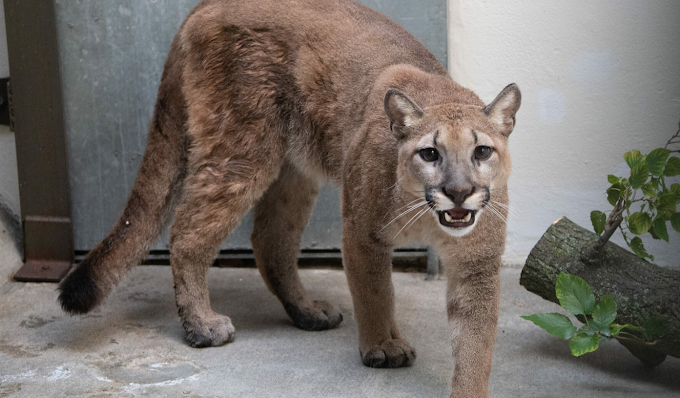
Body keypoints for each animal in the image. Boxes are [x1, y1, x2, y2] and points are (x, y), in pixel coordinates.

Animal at [58, 0, 520, 394]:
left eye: (482, 151)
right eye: (429, 153)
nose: (458, 192)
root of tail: (208, 4)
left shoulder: (477, 263)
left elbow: (476, 343)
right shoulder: (362, 232)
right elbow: (376, 293)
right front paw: (383, 346)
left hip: (295, 169)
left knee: (270, 240)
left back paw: (305, 311)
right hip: (242, 149)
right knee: (187, 232)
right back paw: (202, 326)